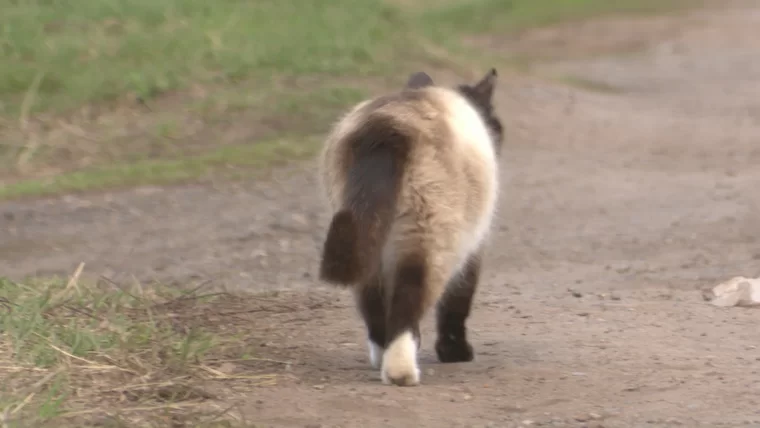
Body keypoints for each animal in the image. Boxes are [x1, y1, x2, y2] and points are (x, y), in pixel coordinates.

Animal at [316, 69, 502, 384]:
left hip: (367, 240)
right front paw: (456, 353)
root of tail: (387, 126)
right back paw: (402, 373)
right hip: (428, 243)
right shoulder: (473, 248)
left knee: (373, 305)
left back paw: (381, 361)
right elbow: (456, 305)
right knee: (408, 301)